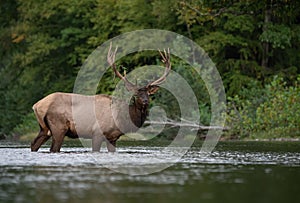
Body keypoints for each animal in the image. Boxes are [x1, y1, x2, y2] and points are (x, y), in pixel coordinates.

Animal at [31, 44, 171, 152]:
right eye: (136, 95)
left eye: (148, 94)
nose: (145, 101)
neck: (122, 120)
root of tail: (37, 105)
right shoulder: (97, 133)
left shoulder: (113, 138)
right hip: (58, 126)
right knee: (53, 148)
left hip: (44, 129)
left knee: (34, 144)